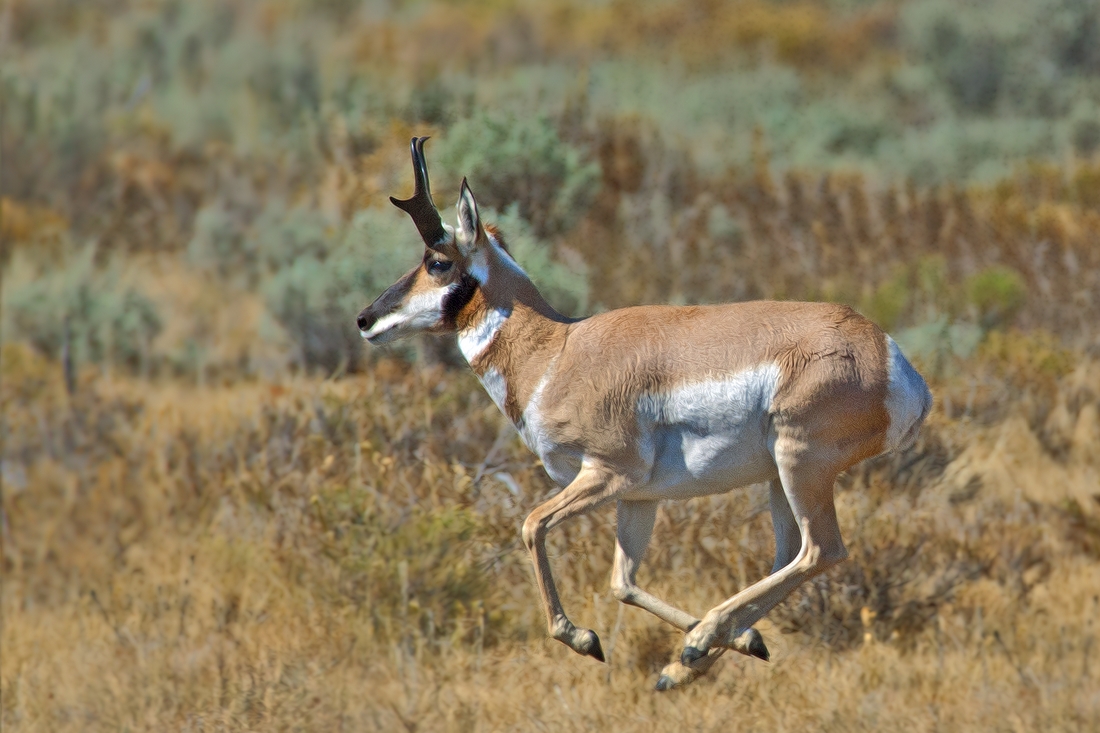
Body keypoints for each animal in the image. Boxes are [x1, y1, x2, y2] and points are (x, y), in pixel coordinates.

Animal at [358, 135, 928, 686]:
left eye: (437, 261)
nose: (365, 319)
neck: (558, 350)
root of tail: (891, 357)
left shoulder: (607, 475)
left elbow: (532, 525)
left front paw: (583, 639)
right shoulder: (638, 498)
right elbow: (622, 583)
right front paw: (735, 644)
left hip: (800, 466)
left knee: (821, 551)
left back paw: (701, 641)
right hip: (777, 481)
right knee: (787, 558)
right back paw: (691, 660)